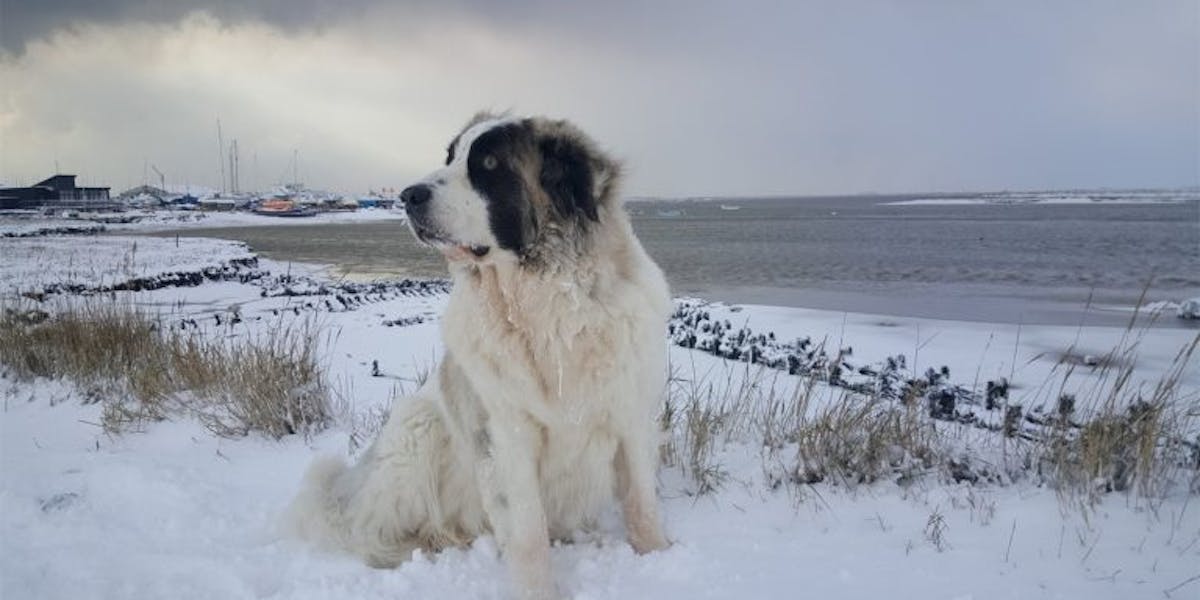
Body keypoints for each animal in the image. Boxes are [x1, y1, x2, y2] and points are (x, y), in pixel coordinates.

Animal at [285, 113, 672, 600]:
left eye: (488, 165)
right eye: (450, 157)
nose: (408, 195)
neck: (547, 306)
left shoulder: (631, 415)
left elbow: (641, 502)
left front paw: (658, 558)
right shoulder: (506, 437)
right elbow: (527, 533)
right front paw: (538, 593)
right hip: (417, 424)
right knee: (365, 528)